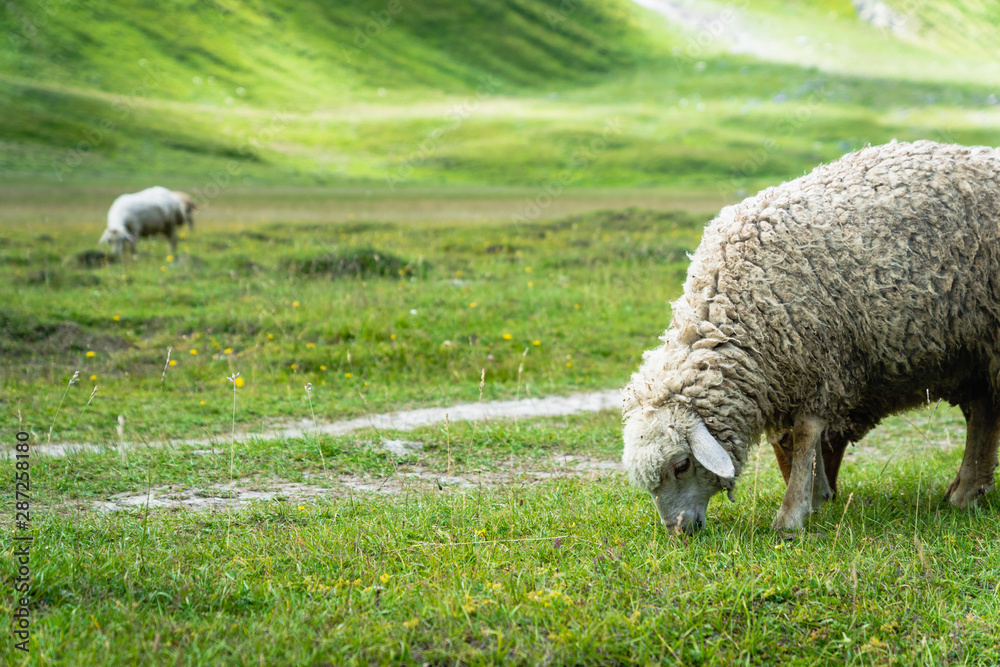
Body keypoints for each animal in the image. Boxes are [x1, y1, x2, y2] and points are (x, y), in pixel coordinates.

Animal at [622, 140, 1000, 532]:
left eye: (681, 465)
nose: (678, 531)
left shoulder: (822, 364)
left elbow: (807, 435)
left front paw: (791, 515)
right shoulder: (797, 371)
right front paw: (816, 496)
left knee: (986, 410)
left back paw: (965, 493)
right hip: (973, 347)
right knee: (984, 409)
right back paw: (967, 489)